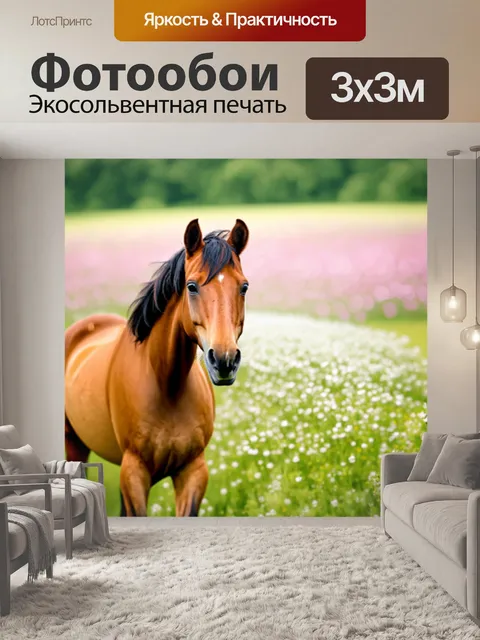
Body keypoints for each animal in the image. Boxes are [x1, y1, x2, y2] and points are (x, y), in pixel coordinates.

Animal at [64, 218, 249, 517]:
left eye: (243, 287)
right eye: (192, 286)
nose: (224, 360)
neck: (167, 385)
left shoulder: (193, 471)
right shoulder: (135, 473)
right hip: (75, 445)